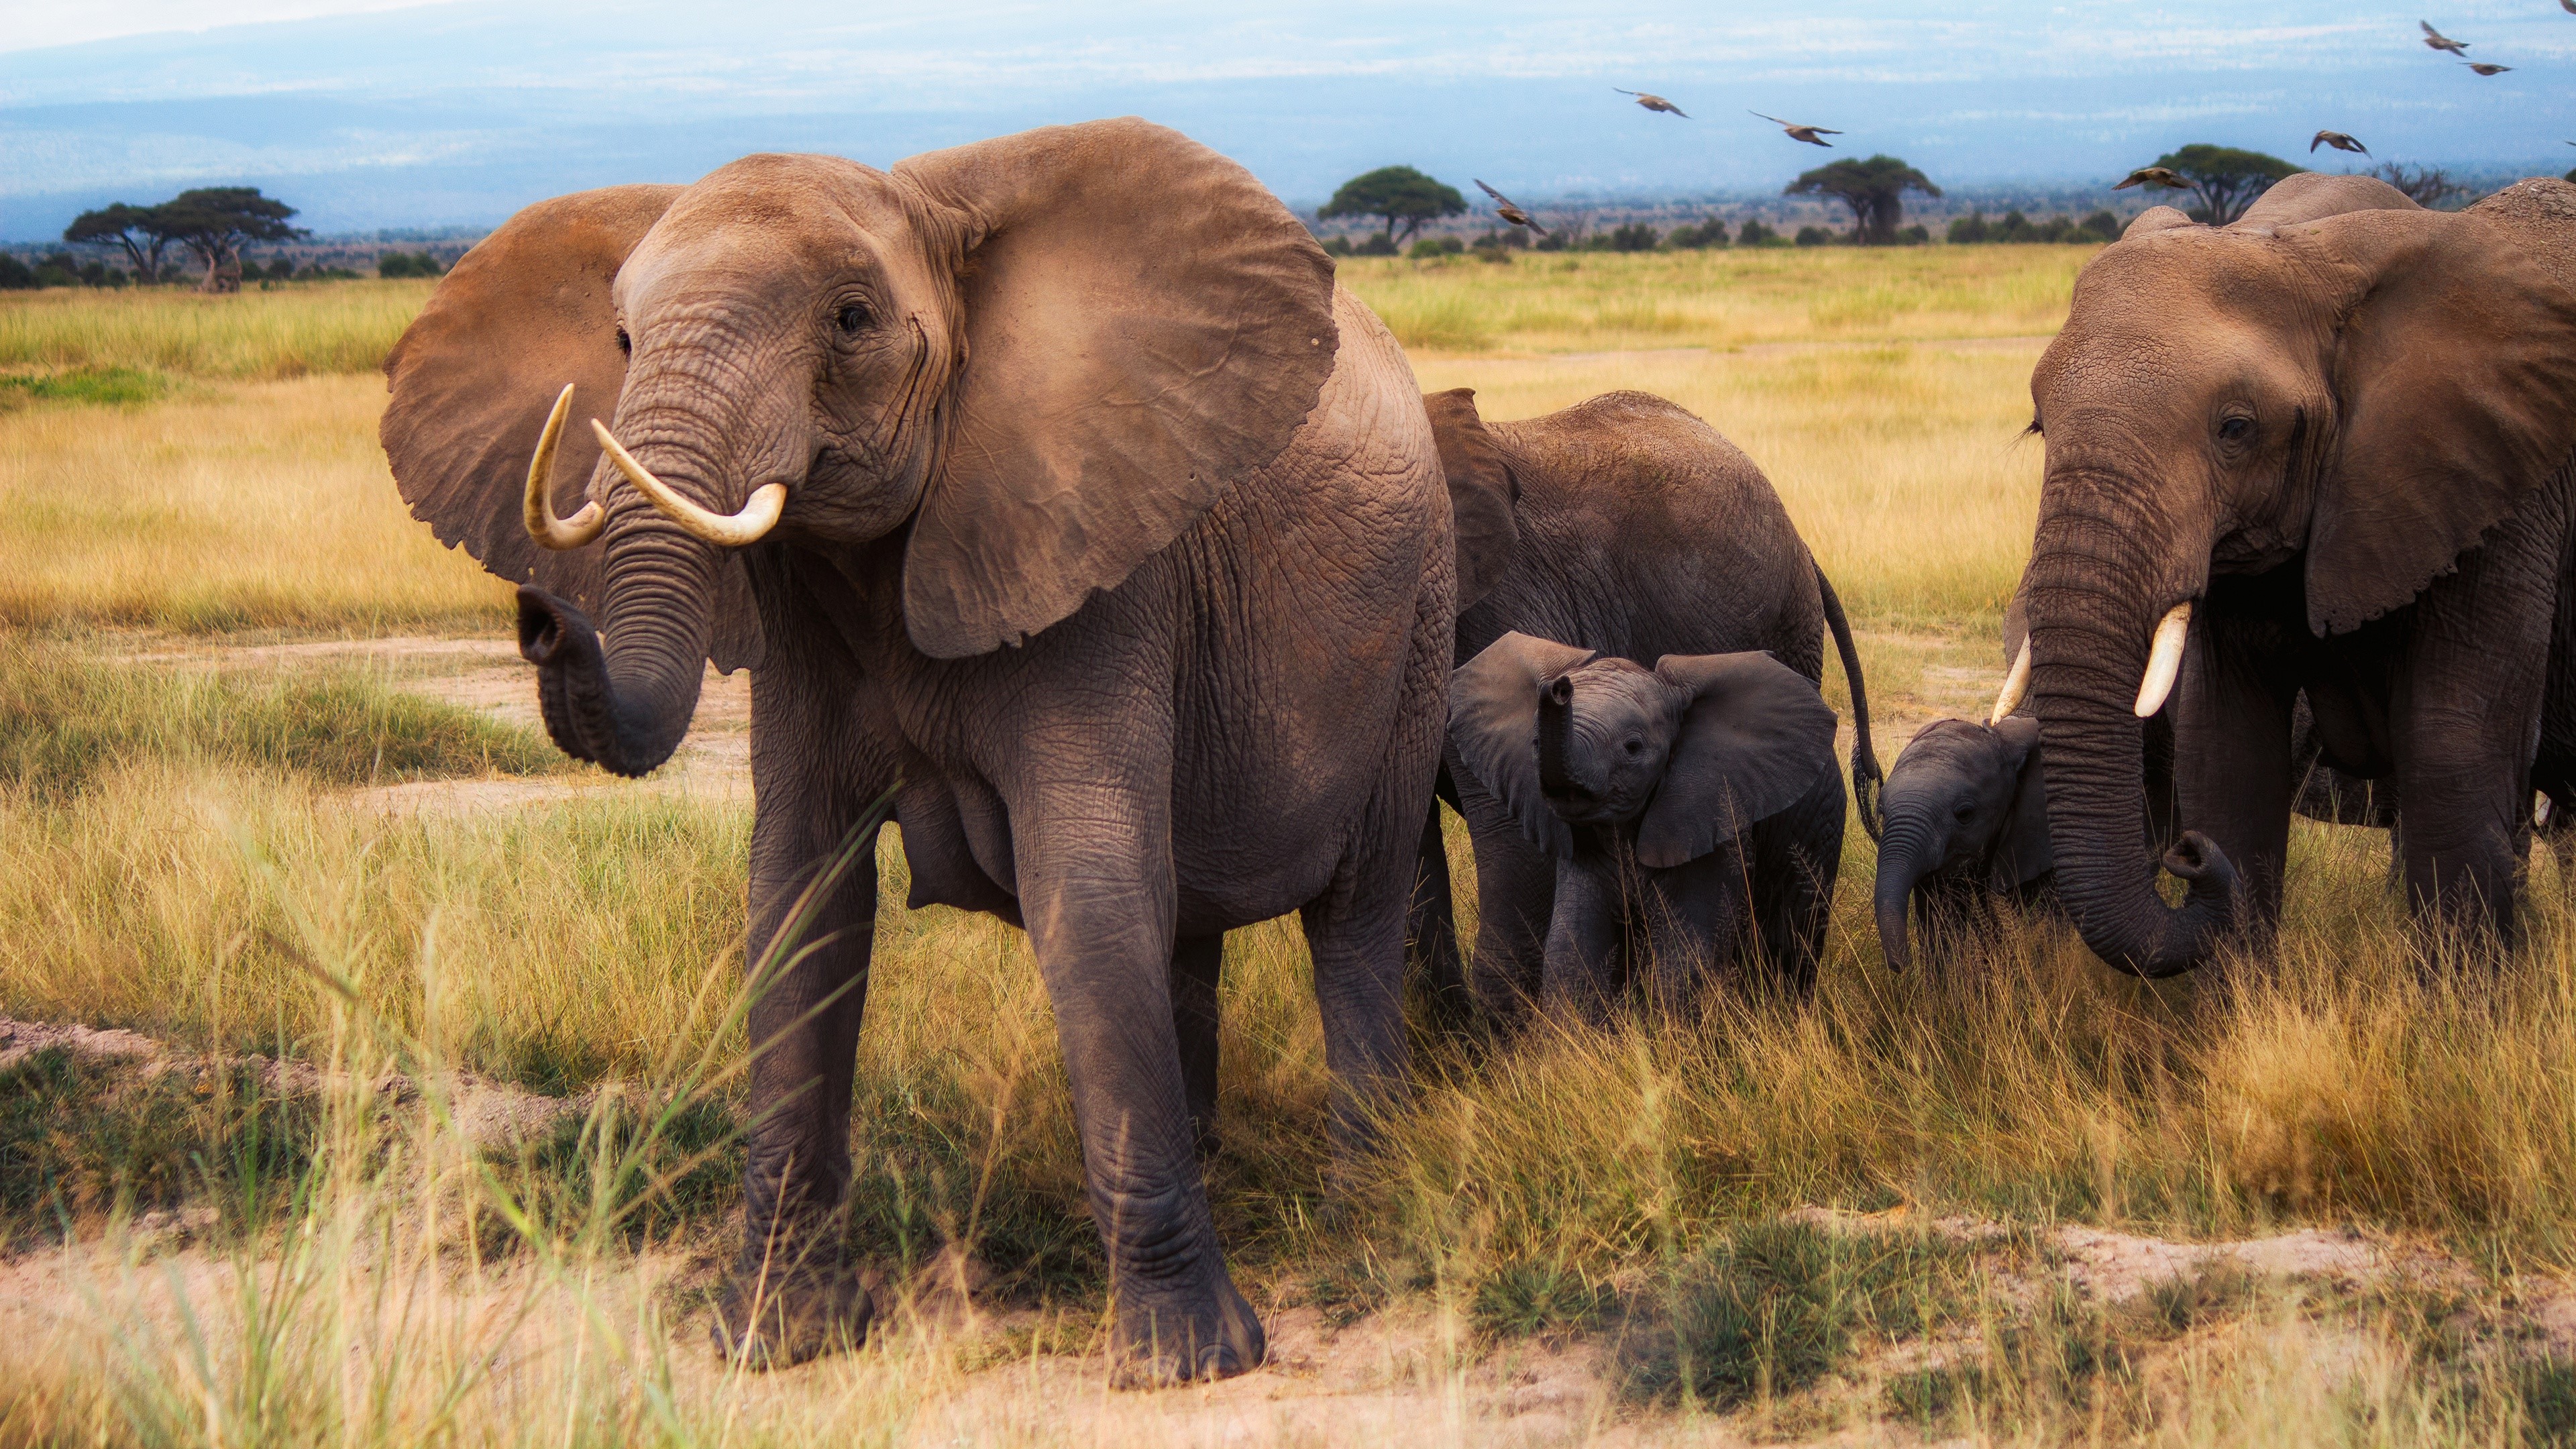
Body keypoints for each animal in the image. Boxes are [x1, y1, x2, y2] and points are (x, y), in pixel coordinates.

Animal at [377, 119, 1499, 1382]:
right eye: (620, 341)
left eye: (852, 320)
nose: (543, 616)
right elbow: (800, 901)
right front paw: (771, 1340)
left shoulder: (1094, 554)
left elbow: (1085, 893)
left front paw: (1187, 1362)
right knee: (1187, 926)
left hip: (1417, 614)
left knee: (1353, 916)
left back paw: (1359, 1212)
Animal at [1447, 633, 1840, 1015]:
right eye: (1534, 742)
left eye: (1633, 748)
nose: (1559, 688)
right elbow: (1572, 948)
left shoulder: (1710, 821)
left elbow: (1687, 956)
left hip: (1818, 824)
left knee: (1791, 937)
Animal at [2010, 170, 2576, 975]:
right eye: (2039, 426)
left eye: (2236, 429)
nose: (2185, 854)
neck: (2306, 247)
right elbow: (2230, 760)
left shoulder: (2504, 494)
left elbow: (2454, 762)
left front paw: (2459, 1010)